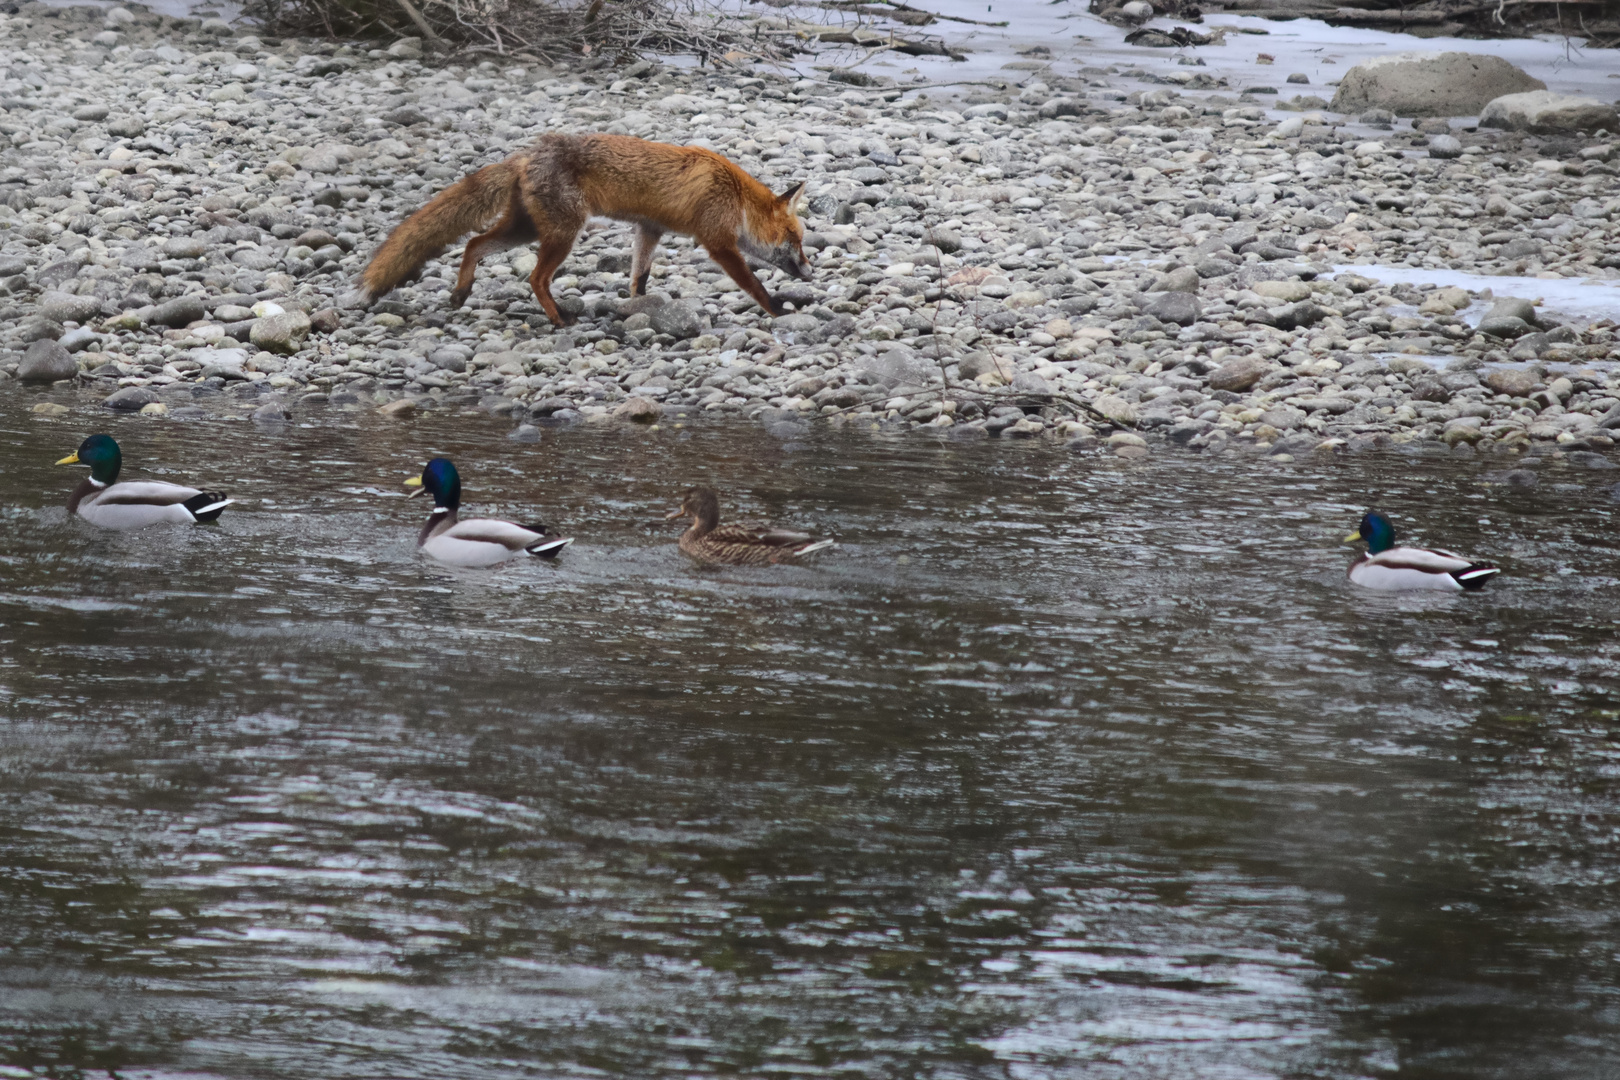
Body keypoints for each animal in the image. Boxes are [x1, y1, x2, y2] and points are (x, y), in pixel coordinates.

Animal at [353, 131, 810, 325]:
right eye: (796, 240)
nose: (810, 271)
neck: (735, 195)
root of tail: (527, 154)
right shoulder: (717, 243)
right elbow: (753, 284)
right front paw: (775, 309)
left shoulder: (649, 230)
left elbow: (638, 278)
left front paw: (637, 310)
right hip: (562, 234)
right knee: (535, 278)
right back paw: (559, 319)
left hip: (524, 230)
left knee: (474, 244)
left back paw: (462, 292)